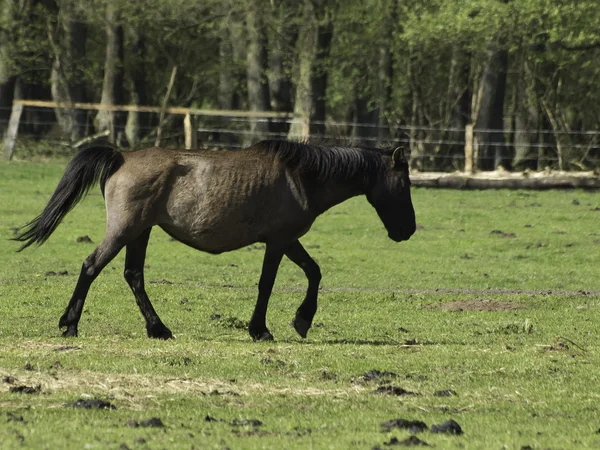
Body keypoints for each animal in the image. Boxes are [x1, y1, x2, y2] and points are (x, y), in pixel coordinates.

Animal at [15, 141, 418, 342]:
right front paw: (261, 329)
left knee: (133, 276)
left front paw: (302, 320)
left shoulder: (287, 240)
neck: (303, 177)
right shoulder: (279, 241)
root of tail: (121, 157)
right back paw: (70, 325)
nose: (409, 230)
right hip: (124, 230)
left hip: (140, 231)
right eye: (405, 182)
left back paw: (158, 329)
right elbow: (268, 284)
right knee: (91, 266)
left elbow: (314, 272)